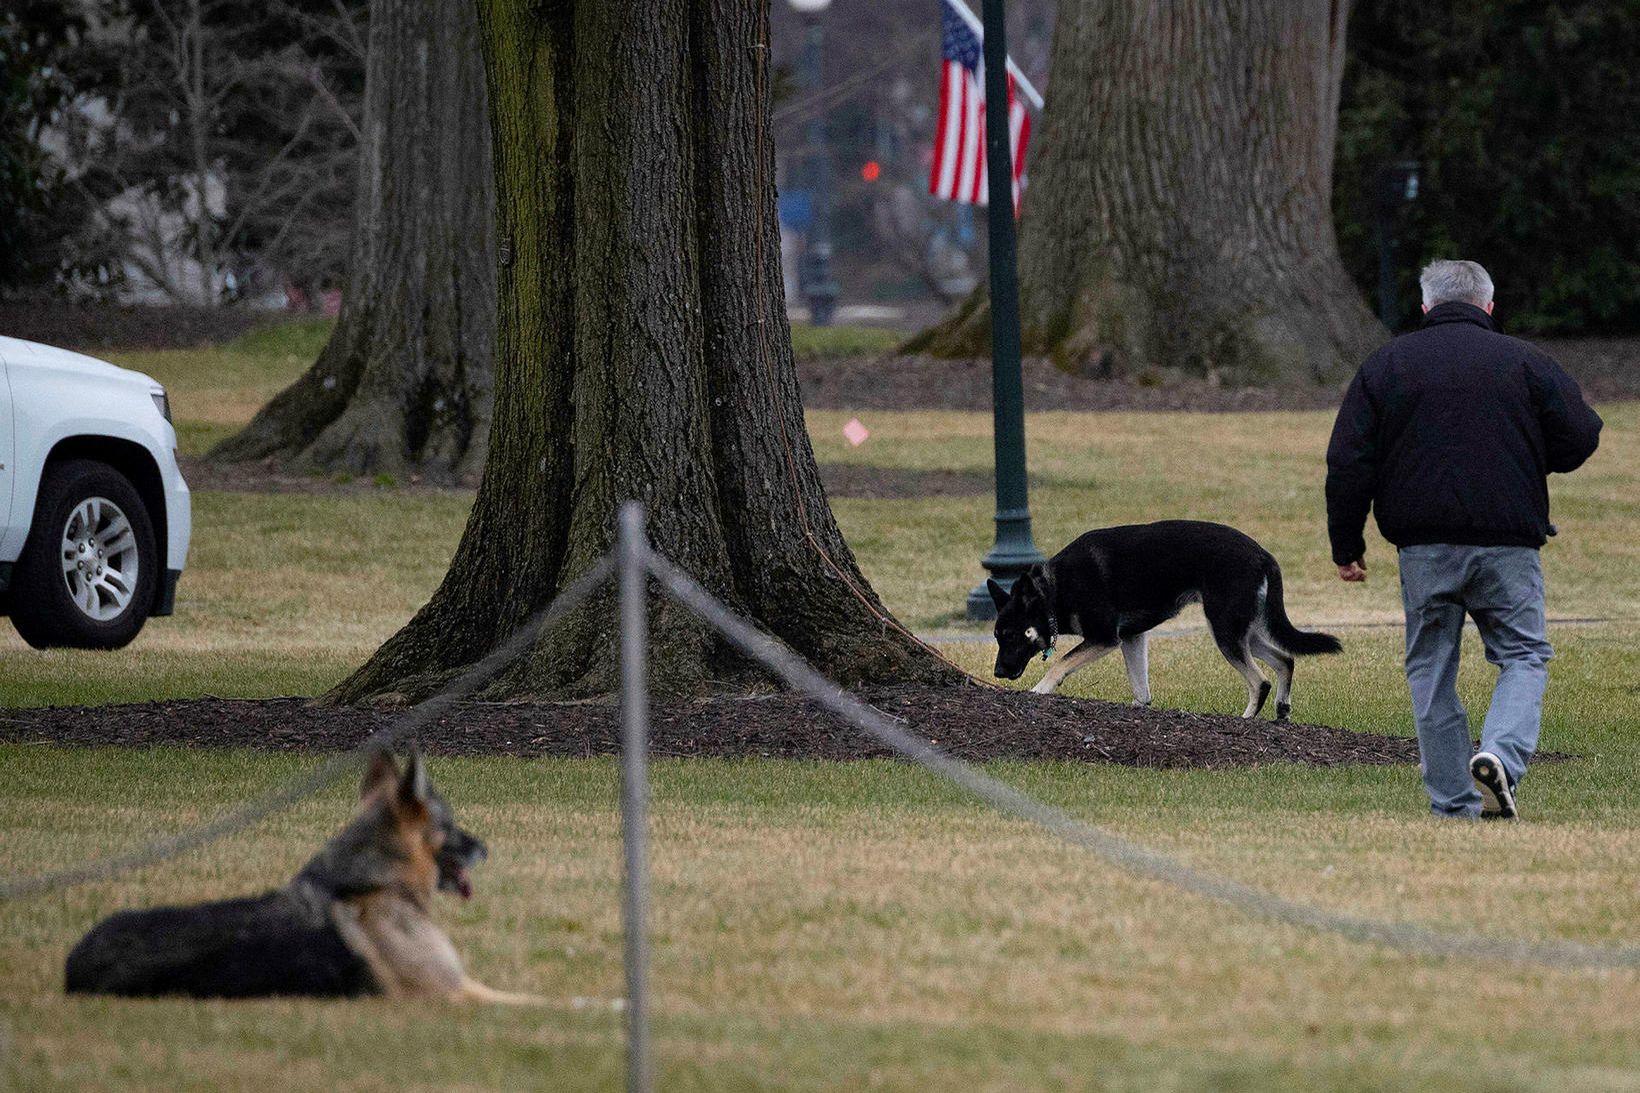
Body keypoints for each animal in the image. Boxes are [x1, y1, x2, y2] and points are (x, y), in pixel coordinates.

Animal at [65, 745, 537, 997]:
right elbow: (534, 1001)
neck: (370, 884)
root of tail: (74, 968)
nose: (486, 848)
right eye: (451, 826)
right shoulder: (453, 992)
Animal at [990, 518, 1338, 715]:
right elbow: (1139, 687)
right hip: (1242, 631)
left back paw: (1247, 718)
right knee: (1285, 660)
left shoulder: (1104, 638)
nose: (997, 673)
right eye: (996, 636)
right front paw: (1140, 709)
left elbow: (1061, 663)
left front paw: (1039, 691)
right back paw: (1282, 709)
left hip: (1225, 630)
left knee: (1260, 681)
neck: (1053, 590)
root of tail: (1263, 554)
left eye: (1010, 635)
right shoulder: (1131, 637)